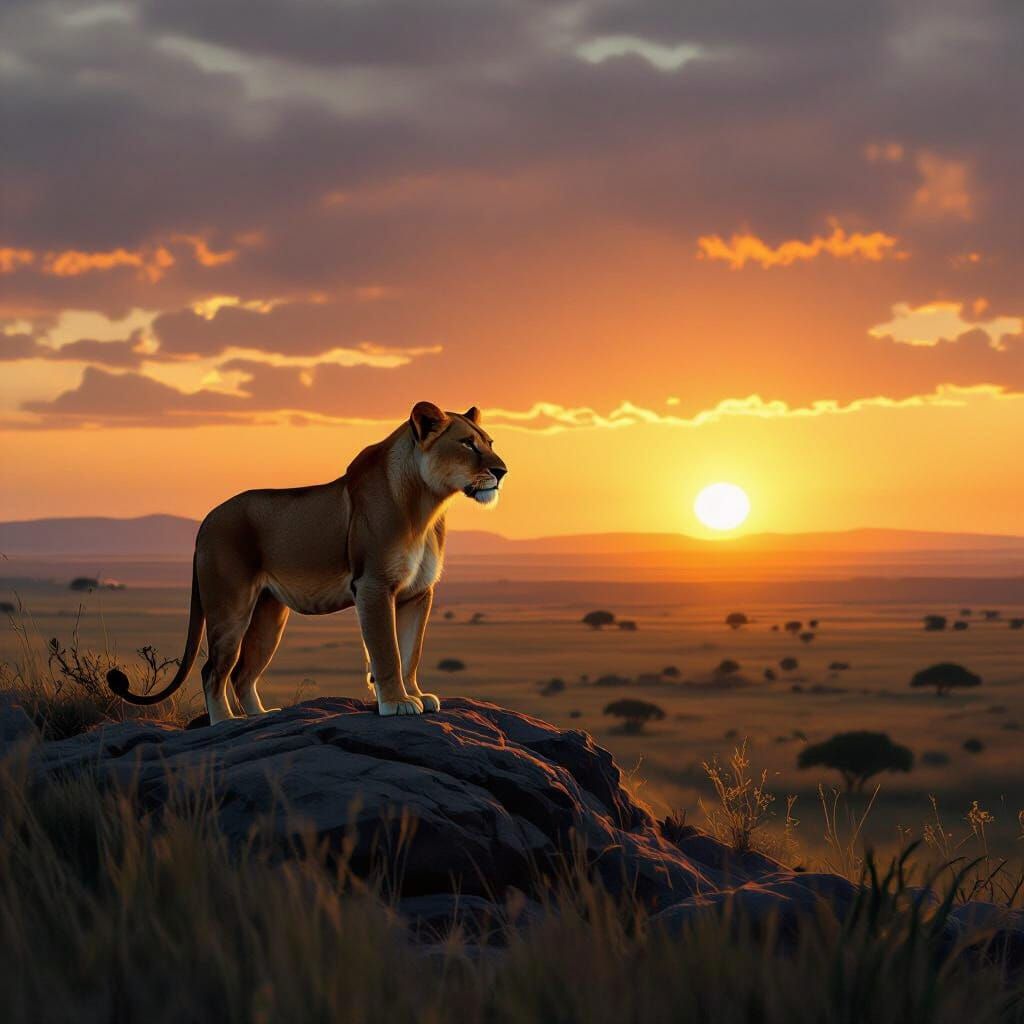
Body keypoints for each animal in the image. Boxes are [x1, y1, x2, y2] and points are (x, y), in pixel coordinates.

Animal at [107, 402, 507, 725]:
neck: (427, 504)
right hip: (229, 607)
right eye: (467, 444)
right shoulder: (373, 584)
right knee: (213, 671)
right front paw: (396, 702)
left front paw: (416, 695)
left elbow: (411, 652)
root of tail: (206, 521)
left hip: (269, 614)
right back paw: (225, 724)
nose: (502, 471)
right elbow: (387, 652)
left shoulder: (418, 593)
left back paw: (262, 717)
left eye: (489, 442)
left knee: (242, 674)